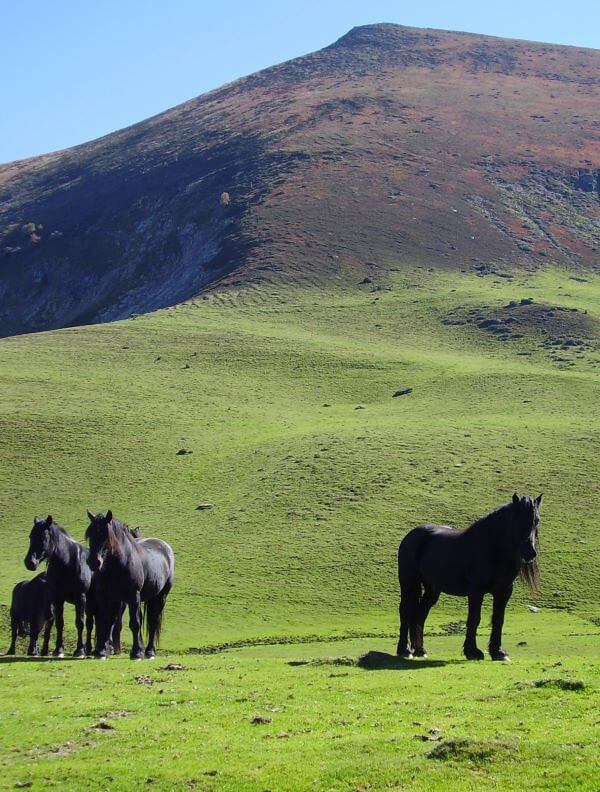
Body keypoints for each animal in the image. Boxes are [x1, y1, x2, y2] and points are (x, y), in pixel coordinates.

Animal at [24, 512, 92, 656]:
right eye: (31, 536)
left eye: (43, 537)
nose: (29, 562)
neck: (67, 562)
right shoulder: (57, 598)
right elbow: (59, 623)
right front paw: (58, 649)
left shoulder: (81, 598)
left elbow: (80, 623)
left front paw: (79, 650)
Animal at [86, 510, 176, 660]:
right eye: (90, 535)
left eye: (106, 535)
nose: (94, 562)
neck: (118, 565)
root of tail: (165, 547)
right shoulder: (108, 597)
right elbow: (106, 622)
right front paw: (101, 651)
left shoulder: (133, 597)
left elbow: (135, 624)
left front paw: (136, 652)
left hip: (161, 597)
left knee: (153, 622)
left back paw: (150, 651)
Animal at [396, 496, 540, 664]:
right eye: (516, 518)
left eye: (537, 520)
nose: (529, 552)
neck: (491, 547)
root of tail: (411, 536)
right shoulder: (476, 591)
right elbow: (474, 619)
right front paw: (472, 651)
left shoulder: (503, 591)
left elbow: (498, 619)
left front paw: (498, 652)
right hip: (408, 584)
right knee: (405, 611)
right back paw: (405, 650)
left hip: (432, 590)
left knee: (420, 613)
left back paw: (420, 650)